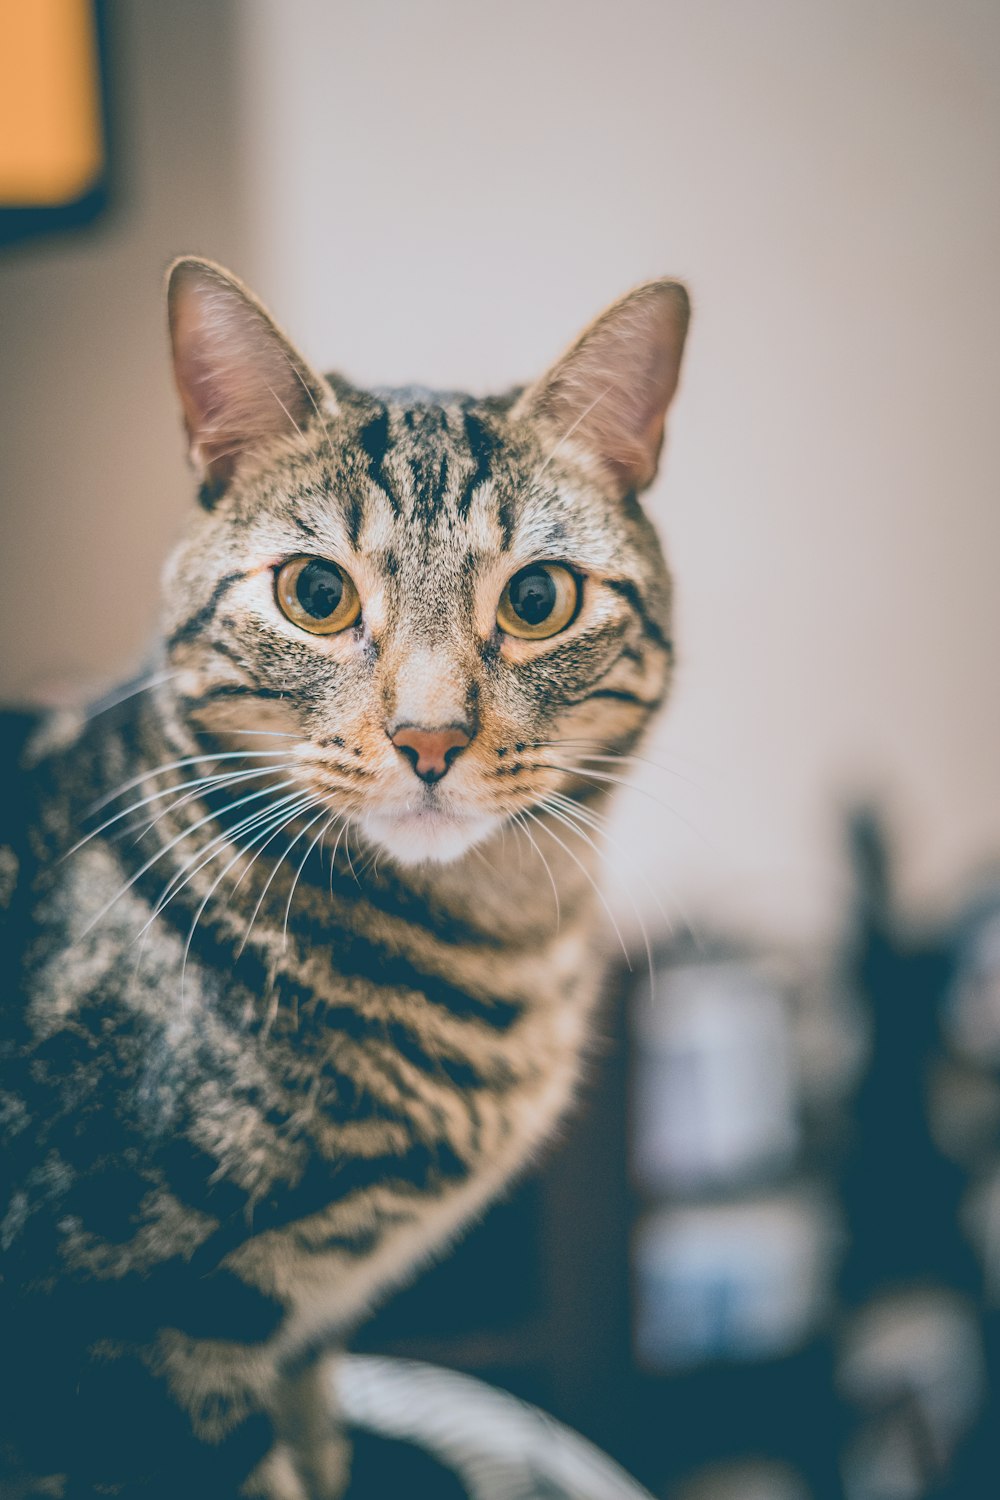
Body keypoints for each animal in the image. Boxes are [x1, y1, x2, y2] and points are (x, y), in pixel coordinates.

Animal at [0, 264, 689, 1494]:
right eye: (316, 593)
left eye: (538, 600)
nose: (429, 737)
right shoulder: (133, 1345)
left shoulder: (302, 1336)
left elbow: (320, 1449)